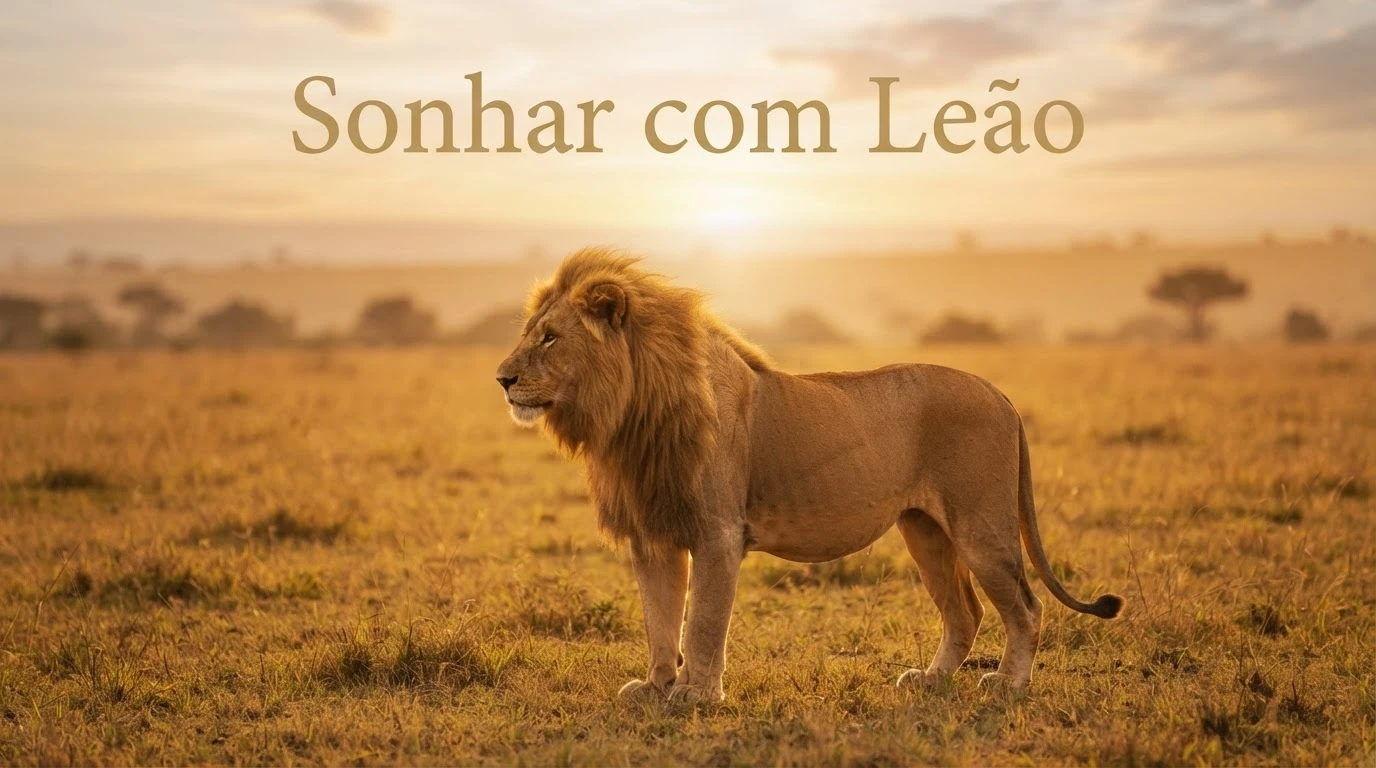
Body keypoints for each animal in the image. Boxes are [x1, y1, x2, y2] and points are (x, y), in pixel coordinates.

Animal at [495, 248, 1122, 702]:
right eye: (529, 332)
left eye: (550, 337)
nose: (501, 379)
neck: (629, 417)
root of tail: (1003, 395)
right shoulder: (652, 535)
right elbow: (661, 619)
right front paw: (655, 686)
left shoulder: (718, 533)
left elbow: (702, 623)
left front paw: (696, 694)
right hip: (924, 529)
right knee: (964, 612)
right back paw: (931, 680)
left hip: (980, 527)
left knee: (1026, 607)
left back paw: (1010, 685)